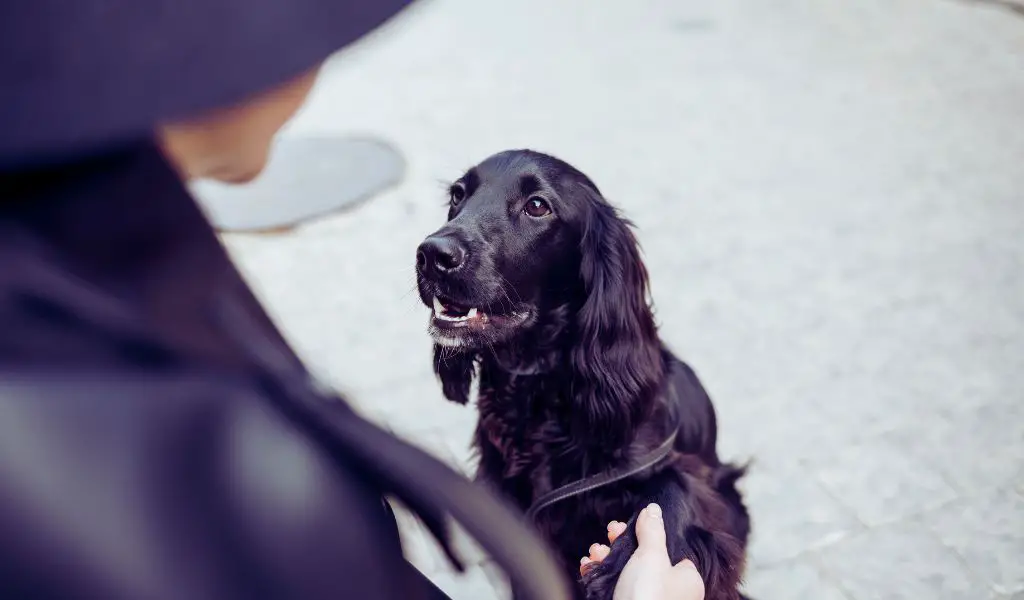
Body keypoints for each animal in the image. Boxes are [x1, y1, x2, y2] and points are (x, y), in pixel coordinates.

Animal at [415, 150, 753, 597]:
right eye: (458, 194)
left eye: (537, 206)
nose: (432, 255)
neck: (535, 392)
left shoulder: (693, 481)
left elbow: (672, 488)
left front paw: (621, 565)